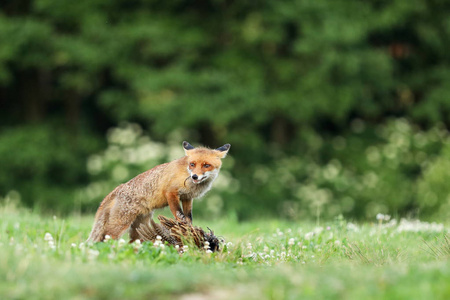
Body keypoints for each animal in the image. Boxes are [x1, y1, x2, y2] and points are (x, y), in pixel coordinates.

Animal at [87, 142, 232, 243]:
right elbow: (178, 213)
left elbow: (189, 216)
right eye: (192, 164)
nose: (195, 176)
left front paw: (190, 229)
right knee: (106, 238)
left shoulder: (187, 197)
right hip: (120, 225)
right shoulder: (171, 192)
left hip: (139, 228)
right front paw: (183, 228)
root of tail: (117, 189)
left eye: (206, 165)